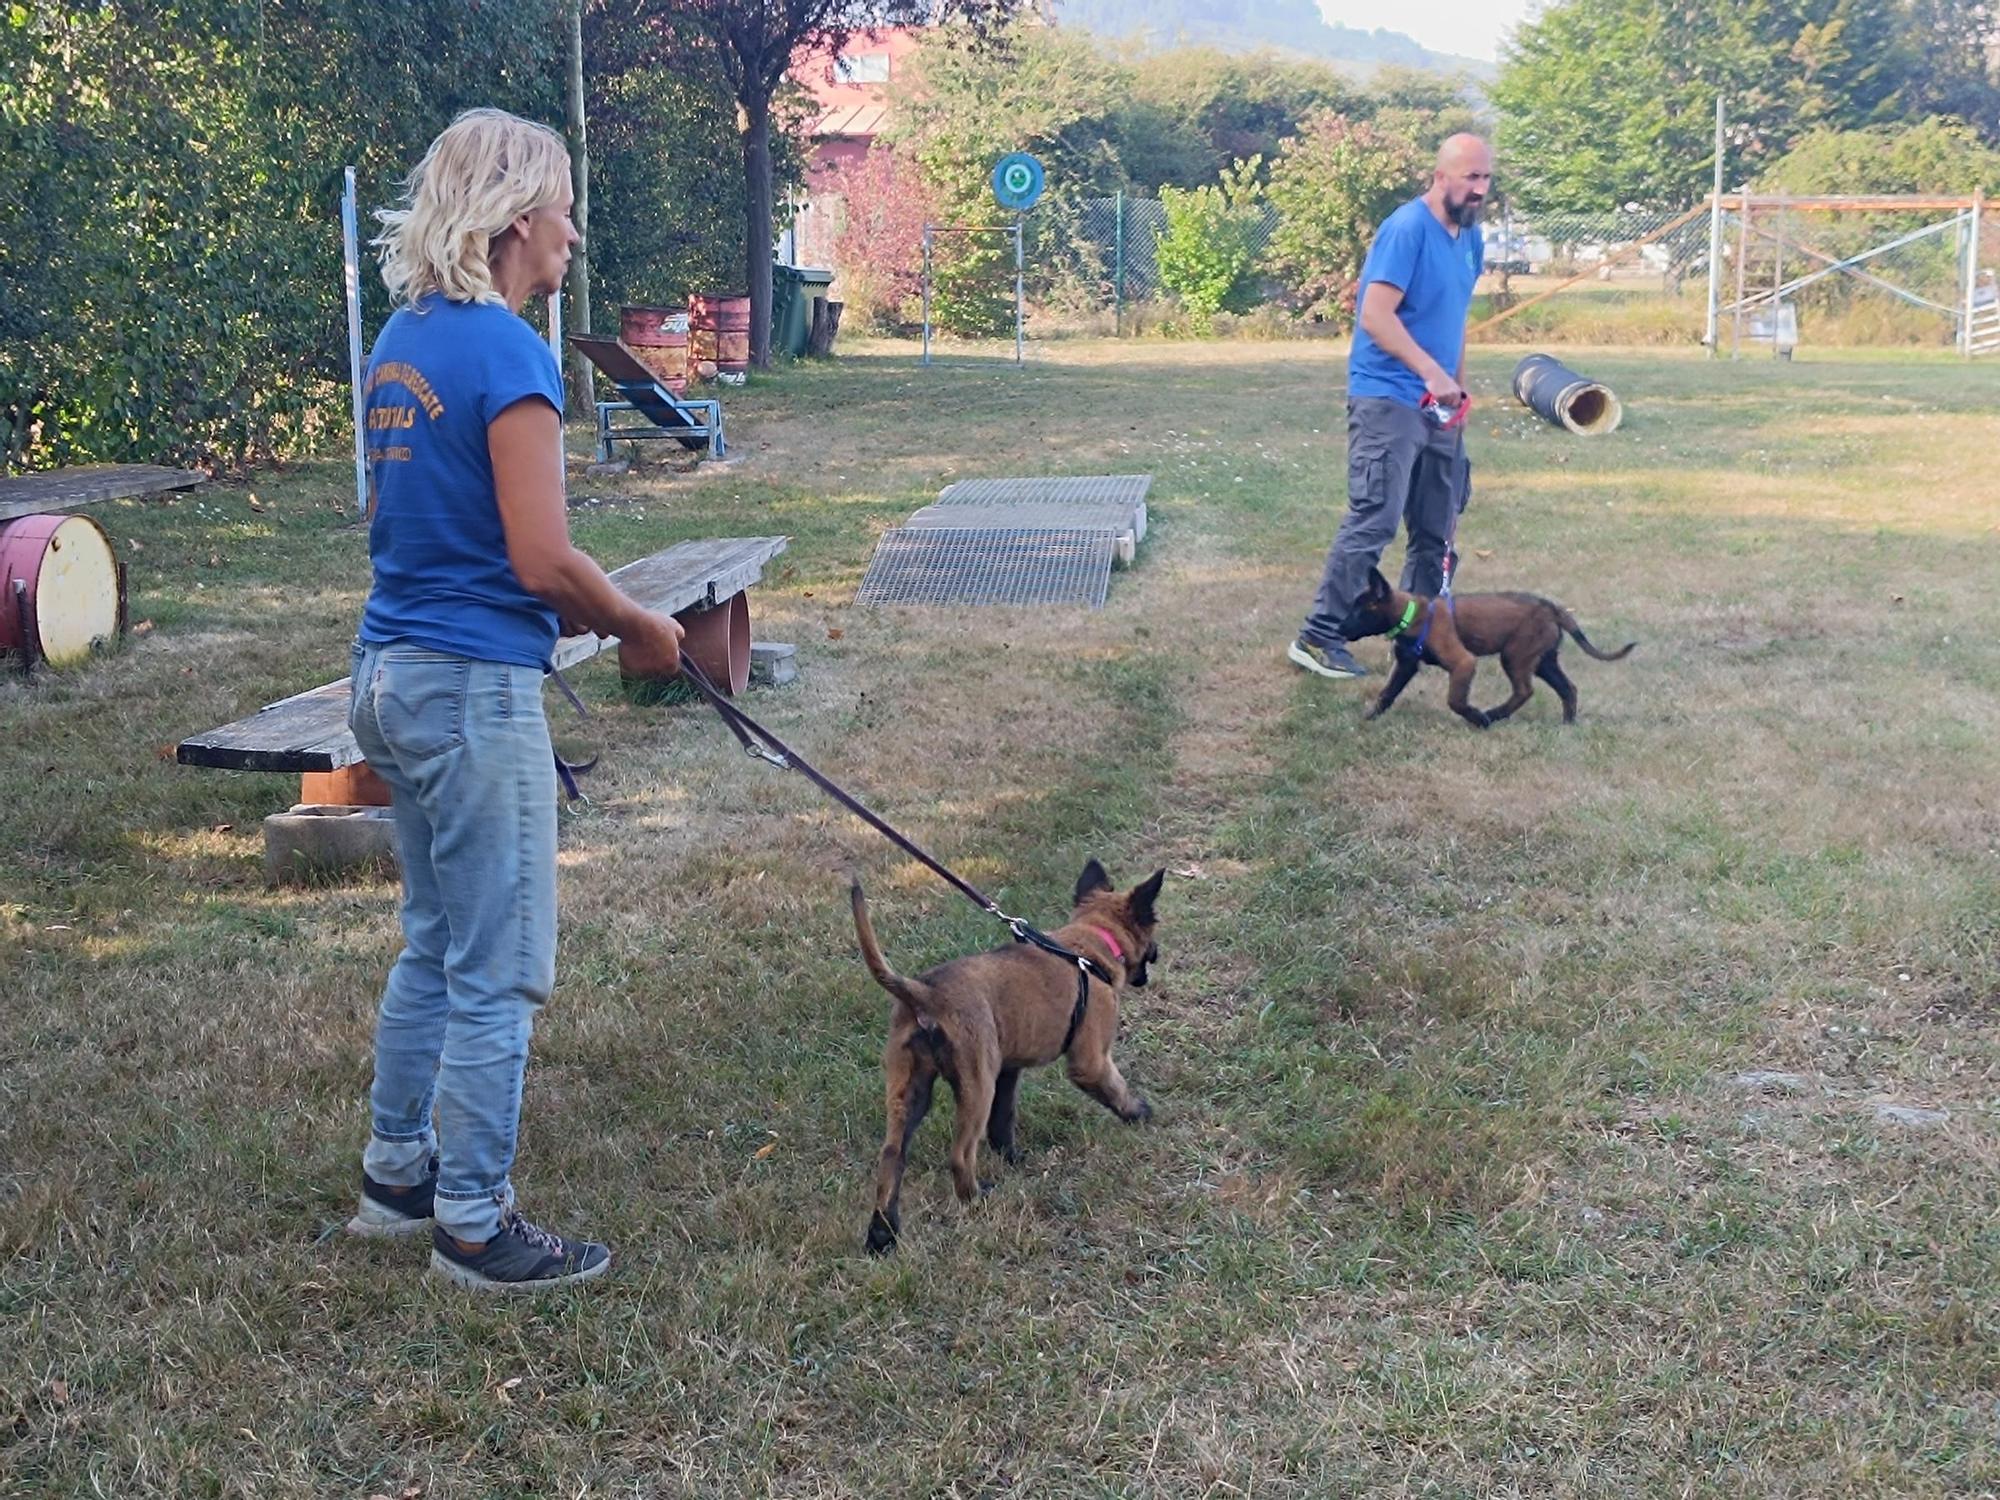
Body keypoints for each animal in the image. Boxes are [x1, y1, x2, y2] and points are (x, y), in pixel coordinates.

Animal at [844, 856, 1160, 1256]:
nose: (1154, 960)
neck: (1089, 946)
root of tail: (925, 993)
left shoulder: (1008, 1070)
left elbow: (1003, 1121)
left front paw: (1012, 1158)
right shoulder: (1091, 1062)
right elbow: (1116, 1088)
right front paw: (1139, 1113)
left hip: (909, 1090)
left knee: (892, 1154)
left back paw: (882, 1233)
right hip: (976, 1084)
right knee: (960, 1156)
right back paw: (976, 1198)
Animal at [1344, 568, 1640, 732]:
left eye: (1359, 611)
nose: (1338, 627)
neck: (1413, 614)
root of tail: (1552, 608)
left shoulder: (1463, 662)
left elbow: (1455, 700)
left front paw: (1478, 718)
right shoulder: (1405, 665)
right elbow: (1387, 694)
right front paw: (1368, 718)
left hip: (1515, 655)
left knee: (1525, 690)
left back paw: (1495, 715)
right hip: (1543, 660)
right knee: (1568, 688)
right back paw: (1567, 725)